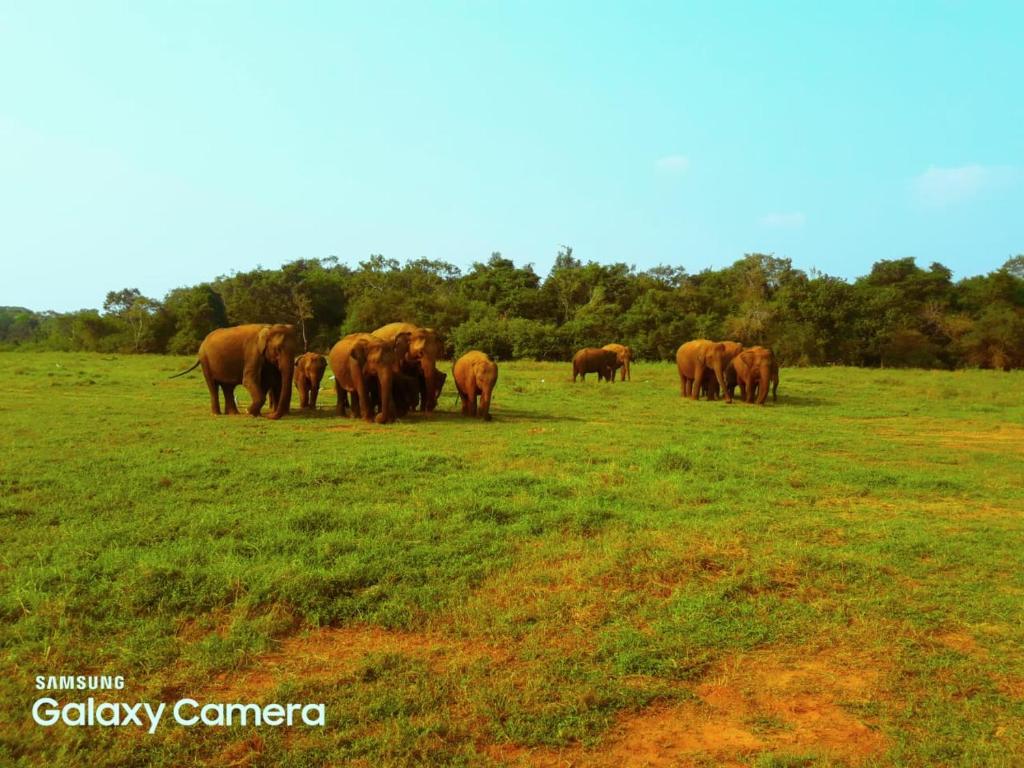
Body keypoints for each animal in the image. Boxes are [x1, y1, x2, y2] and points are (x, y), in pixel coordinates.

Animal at [169, 325, 299, 421]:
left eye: (296, 350)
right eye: (278, 349)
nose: (270, 416)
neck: (269, 327)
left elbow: (268, 381)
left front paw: (255, 414)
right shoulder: (252, 353)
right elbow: (248, 380)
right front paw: (249, 412)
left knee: (228, 387)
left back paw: (233, 414)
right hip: (205, 360)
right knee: (213, 386)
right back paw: (217, 414)